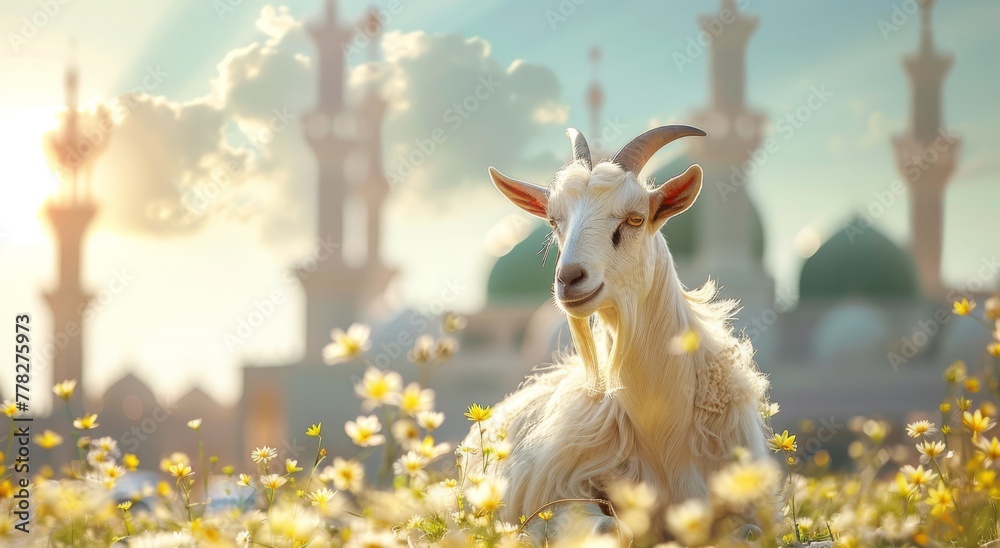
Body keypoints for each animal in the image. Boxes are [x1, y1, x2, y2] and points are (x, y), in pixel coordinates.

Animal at [464, 126, 771, 540]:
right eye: (553, 222)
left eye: (635, 219)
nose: (569, 278)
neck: (662, 433)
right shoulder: (558, 495)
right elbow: (609, 526)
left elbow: (751, 531)